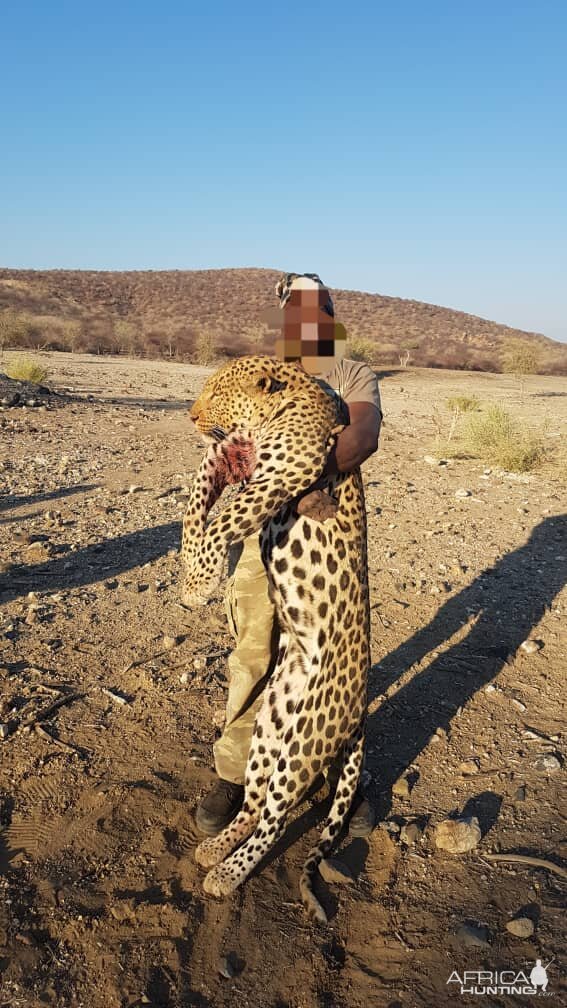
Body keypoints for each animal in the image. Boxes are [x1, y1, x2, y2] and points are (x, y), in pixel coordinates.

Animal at [178, 354, 369, 923]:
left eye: (218, 392)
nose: (191, 416)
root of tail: (358, 711)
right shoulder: (226, 457)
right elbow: (195, 504)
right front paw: (191, 571)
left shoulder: (290, 470)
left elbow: (223, 520)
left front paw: (199, 579)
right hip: (271, 725)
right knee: (255, 802)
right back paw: (216, 847)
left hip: (305, 742)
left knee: (277, 817)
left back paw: (226, 875)